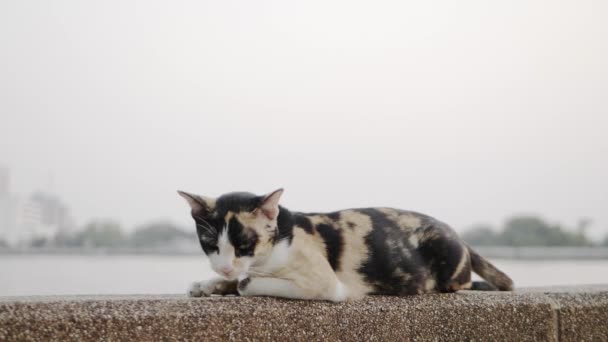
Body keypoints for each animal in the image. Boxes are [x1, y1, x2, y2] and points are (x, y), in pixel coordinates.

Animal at [177, 188, 512, 300]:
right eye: (209, 243)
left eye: (245, 243)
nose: (224, 267)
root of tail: (459, 236)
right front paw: (209, 285)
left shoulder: (325, 285)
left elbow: (248, 284)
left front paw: (236, 284)